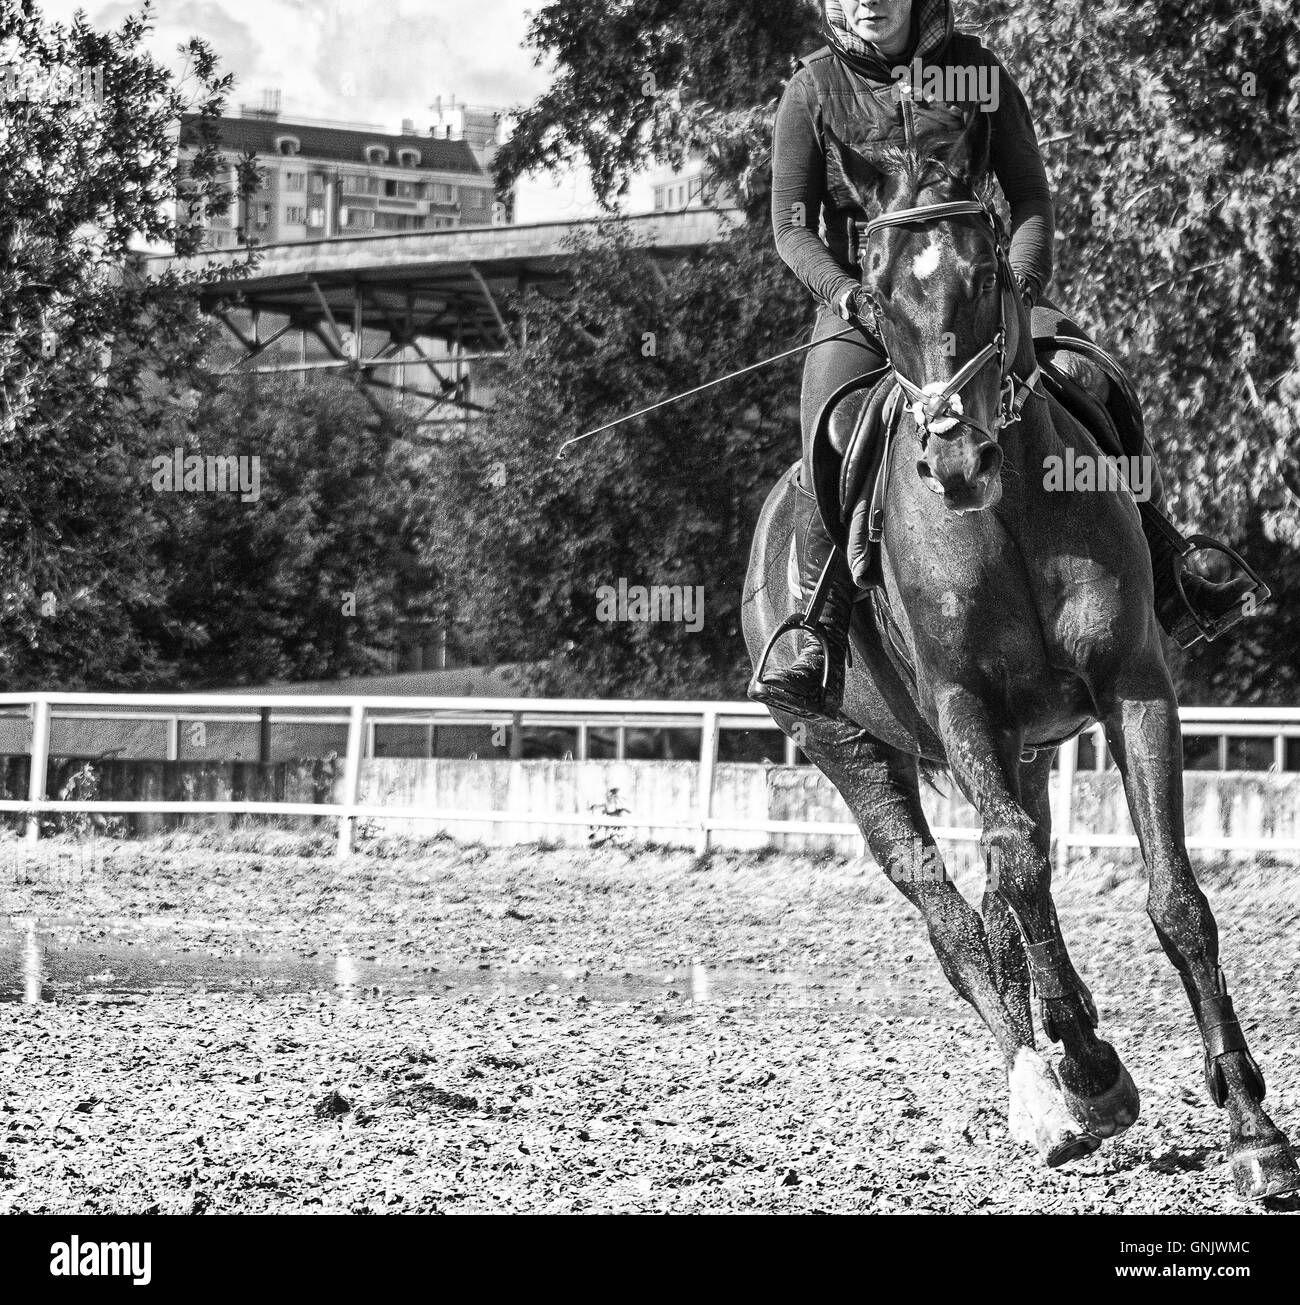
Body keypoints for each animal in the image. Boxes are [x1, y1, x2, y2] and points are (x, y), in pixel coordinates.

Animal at [742, 107, 1299, 1199]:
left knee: (1010, 884)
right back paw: (1047, 1096)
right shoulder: (963, 706)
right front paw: (1083, 1069)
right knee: (954, 913)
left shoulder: (1133, 688)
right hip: (847, 747)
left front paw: (1254, 1131)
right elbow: (1019, 883)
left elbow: (1173, 897)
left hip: (1030, 746)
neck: (1001, 515)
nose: (956, 461)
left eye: (988, 270)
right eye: (875, 290)